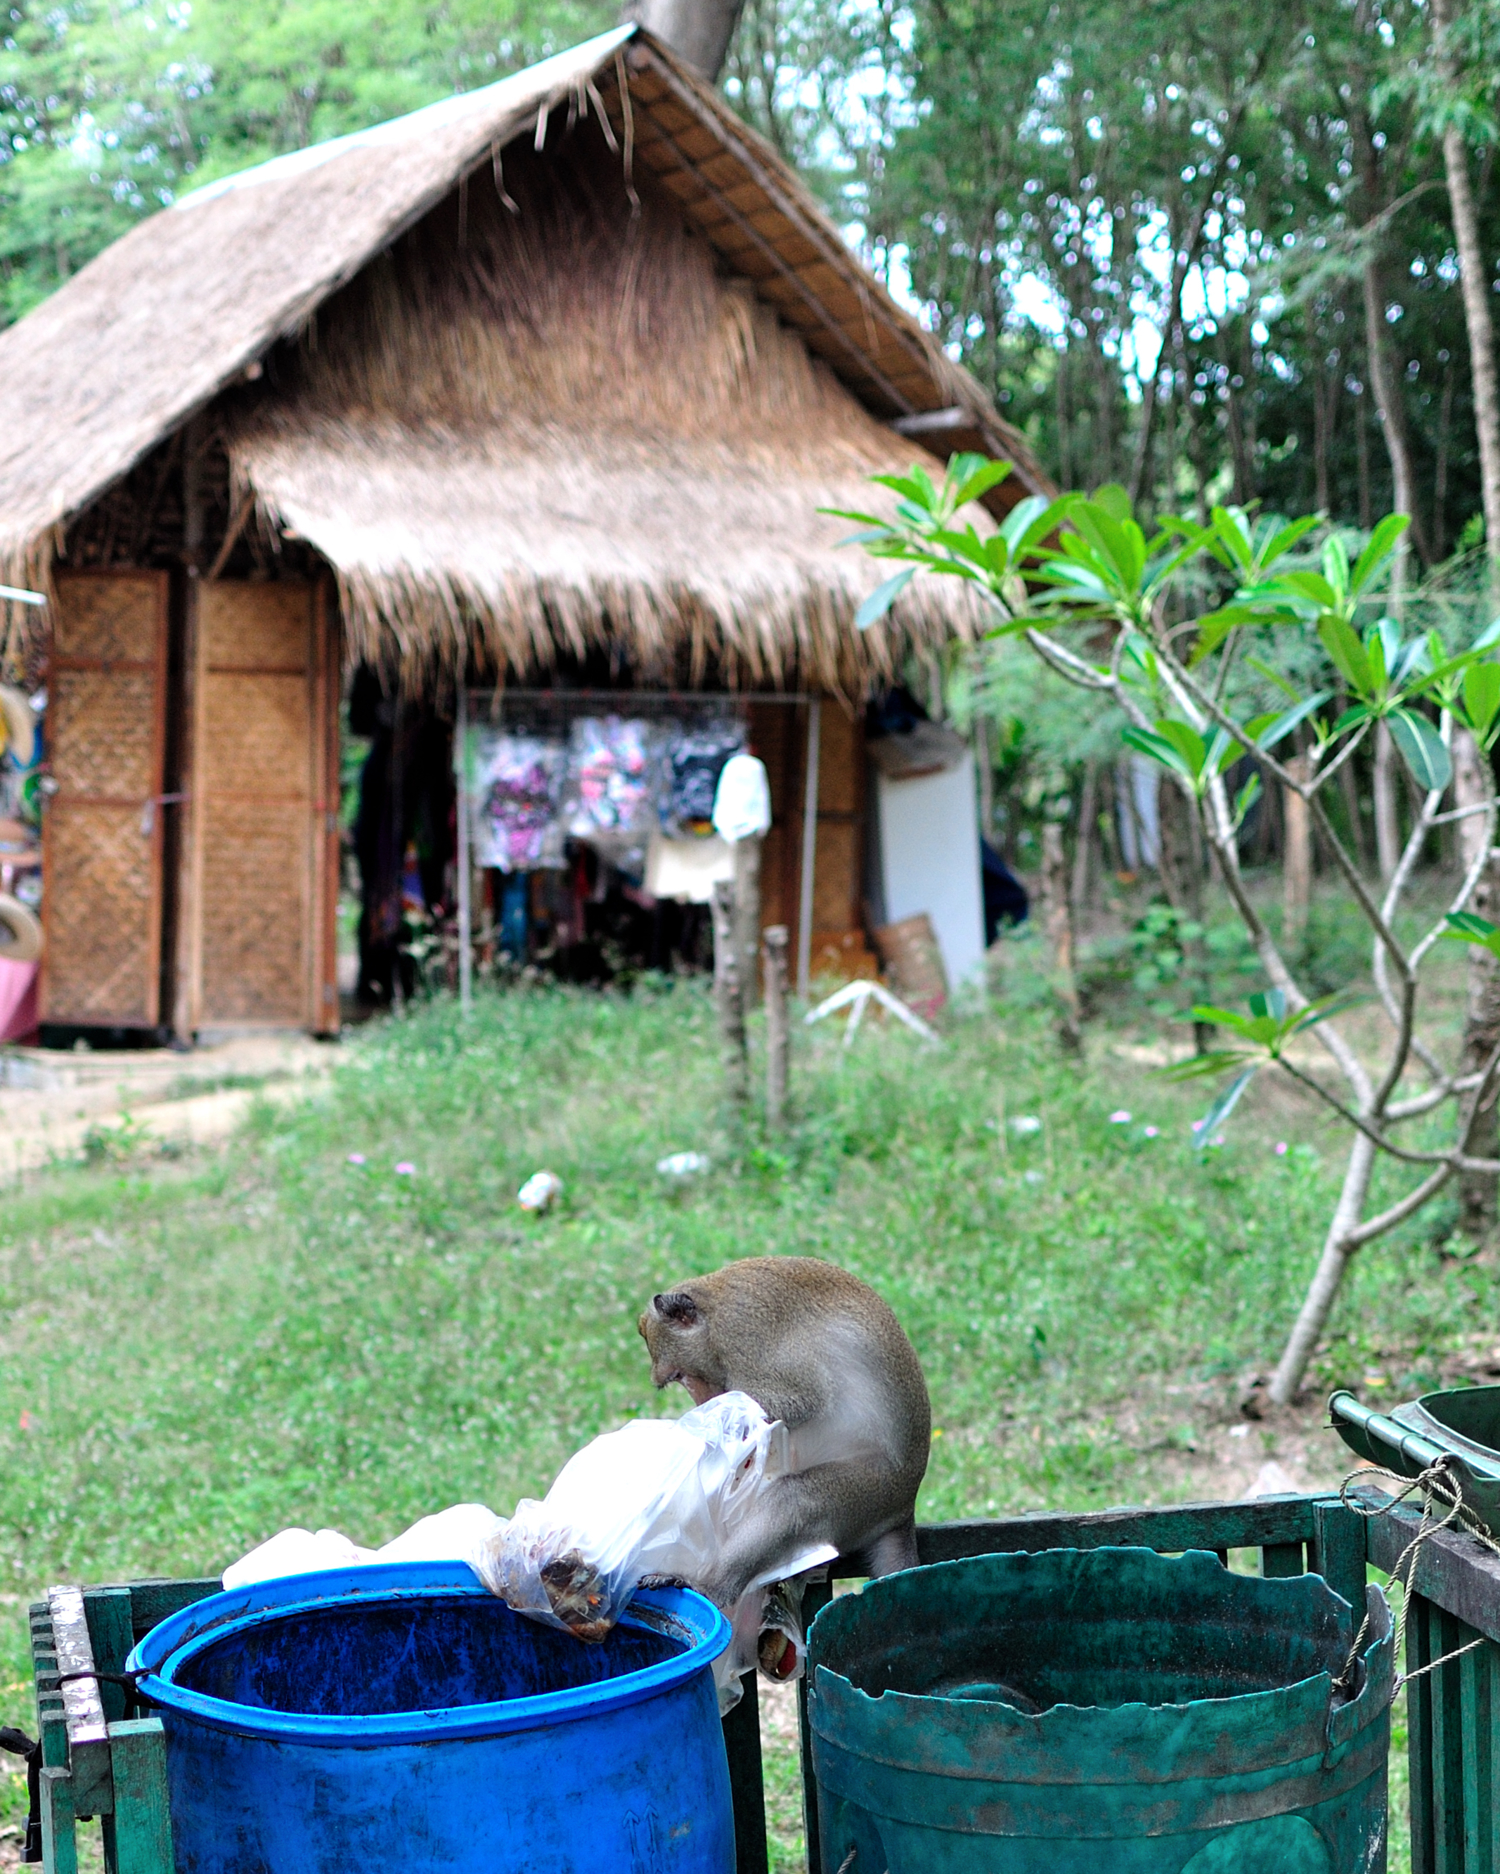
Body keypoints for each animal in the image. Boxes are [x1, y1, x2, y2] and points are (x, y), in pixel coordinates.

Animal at [637, 1251, 930, 1604]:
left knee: (795, 1499)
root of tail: (905, 1505)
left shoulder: (744, 1333)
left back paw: (711, 1589)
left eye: (679, 1374)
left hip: (871, 1492)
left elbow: (803, 1399)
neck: (713, 1309)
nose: (701, 1399)